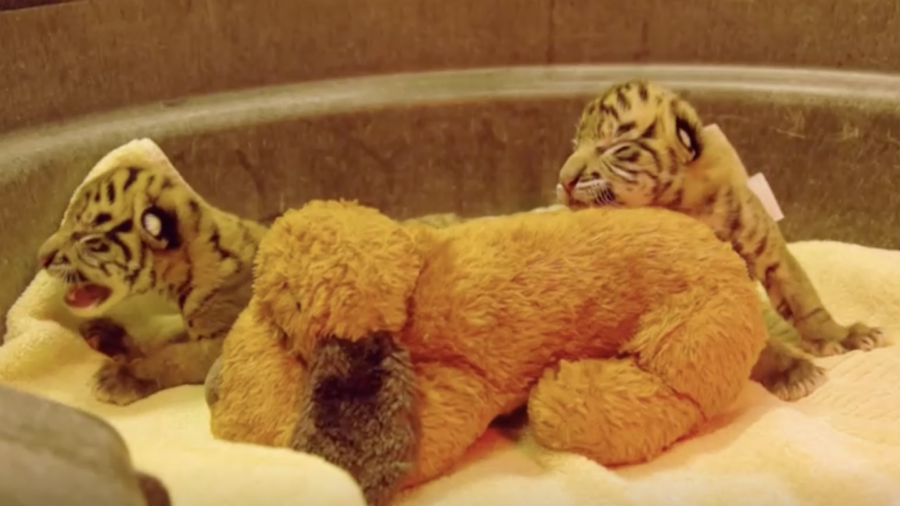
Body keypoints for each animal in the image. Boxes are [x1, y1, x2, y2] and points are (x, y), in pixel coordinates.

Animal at [555, 79, 884, 401]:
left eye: (615, 146)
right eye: (574, 145)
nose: (564, 180)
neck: (690, 202)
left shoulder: (767, 244)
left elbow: (803, 296)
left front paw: (842, 336)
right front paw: (793, 372)